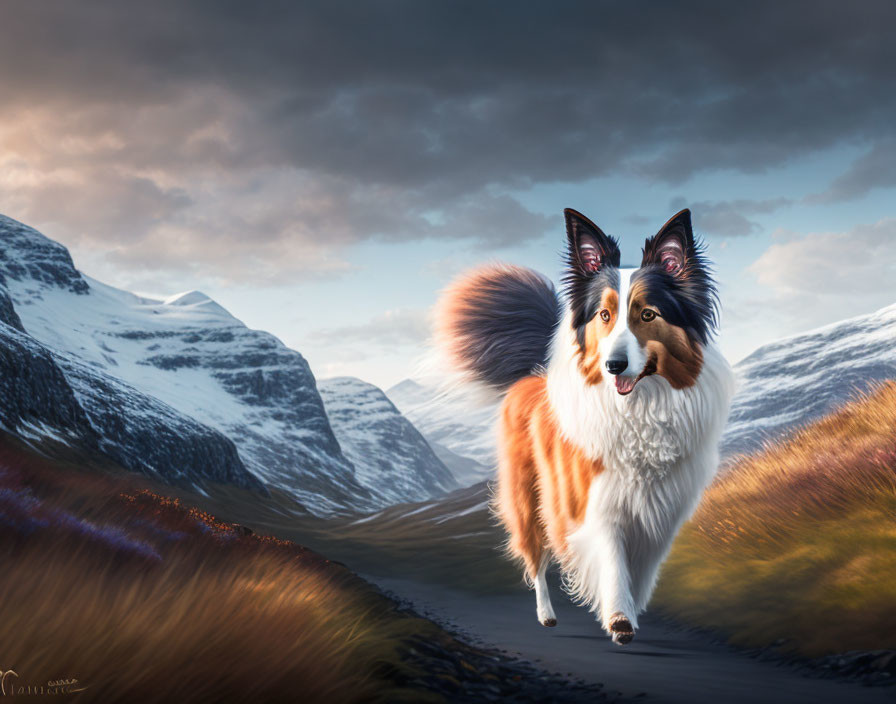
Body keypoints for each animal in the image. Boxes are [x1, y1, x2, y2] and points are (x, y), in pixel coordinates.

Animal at [434, 208, 736, 644]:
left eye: (648, 314)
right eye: (604, 316)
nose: (613, 365)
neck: (638, 411)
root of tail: (531, 376)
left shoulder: (659, 516)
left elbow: (641, 571)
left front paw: (632, 610)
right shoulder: (594, 505)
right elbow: (611, 561)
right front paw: (619, 618)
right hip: (528, 501)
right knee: (535, 560)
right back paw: (546, 614)